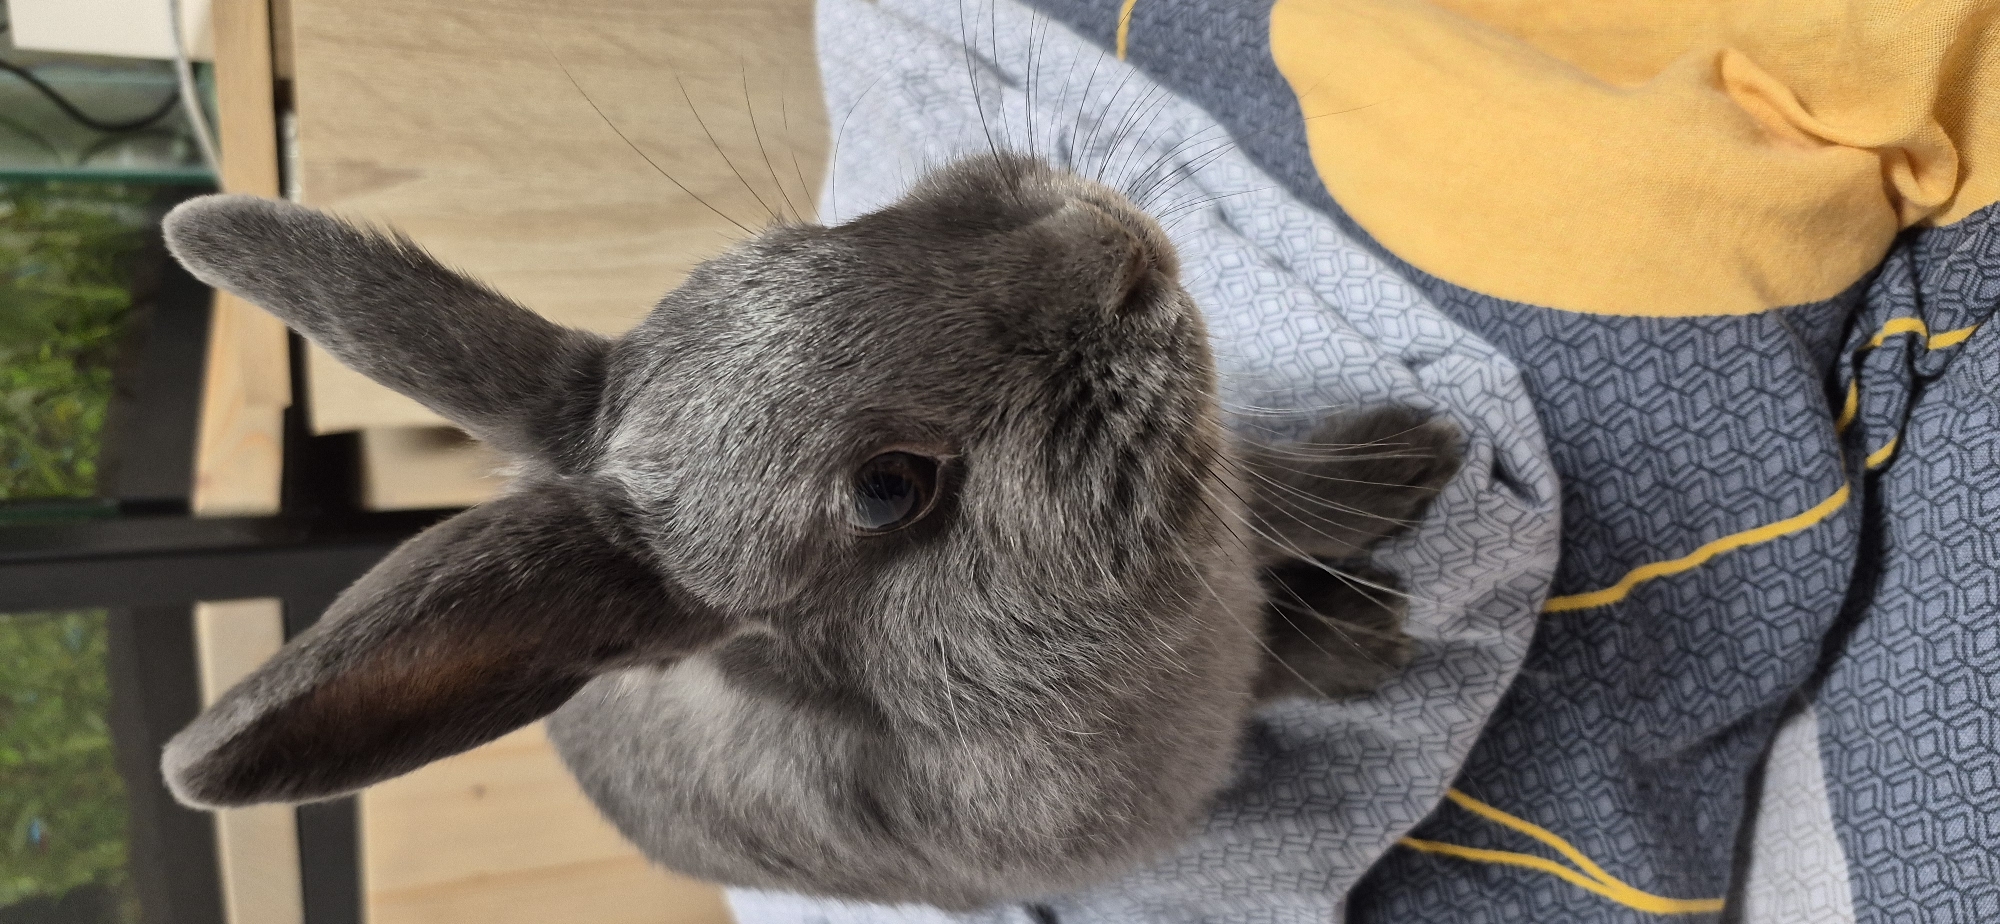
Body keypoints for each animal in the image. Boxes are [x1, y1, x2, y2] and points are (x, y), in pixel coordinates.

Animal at [157, 151, 1459, 910]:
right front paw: (1372, 636)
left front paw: (1403, 457)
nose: (1106, 247)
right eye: (888, 489)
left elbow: (1278, 492)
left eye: (795, 244)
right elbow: (1273, 664)